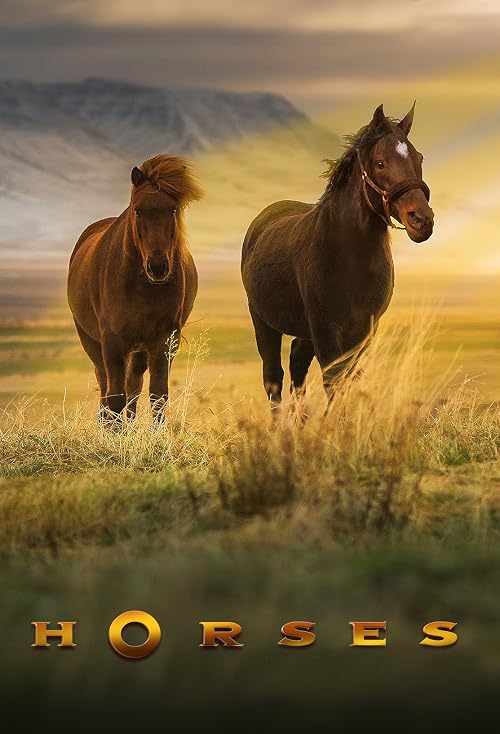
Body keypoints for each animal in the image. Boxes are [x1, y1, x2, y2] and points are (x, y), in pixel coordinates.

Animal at [67, 154, 204, 423]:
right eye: (138, 211)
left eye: (172, 209)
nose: (158, 267)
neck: (142, 288)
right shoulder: (112, 341)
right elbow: (115, 398)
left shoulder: (164, 340)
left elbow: (157, 396)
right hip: (91, 341)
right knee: (106, 386)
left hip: (140, 349)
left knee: (133, 386)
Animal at [241, 103, 434, 407]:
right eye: (380, 163)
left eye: (419, 158)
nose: (422, 220)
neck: (349, 257)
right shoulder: (326, 329)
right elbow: (334, 382)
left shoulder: (363, 331)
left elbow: (344, 382)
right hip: (264, 322)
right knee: (274, 377)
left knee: (297, 364)